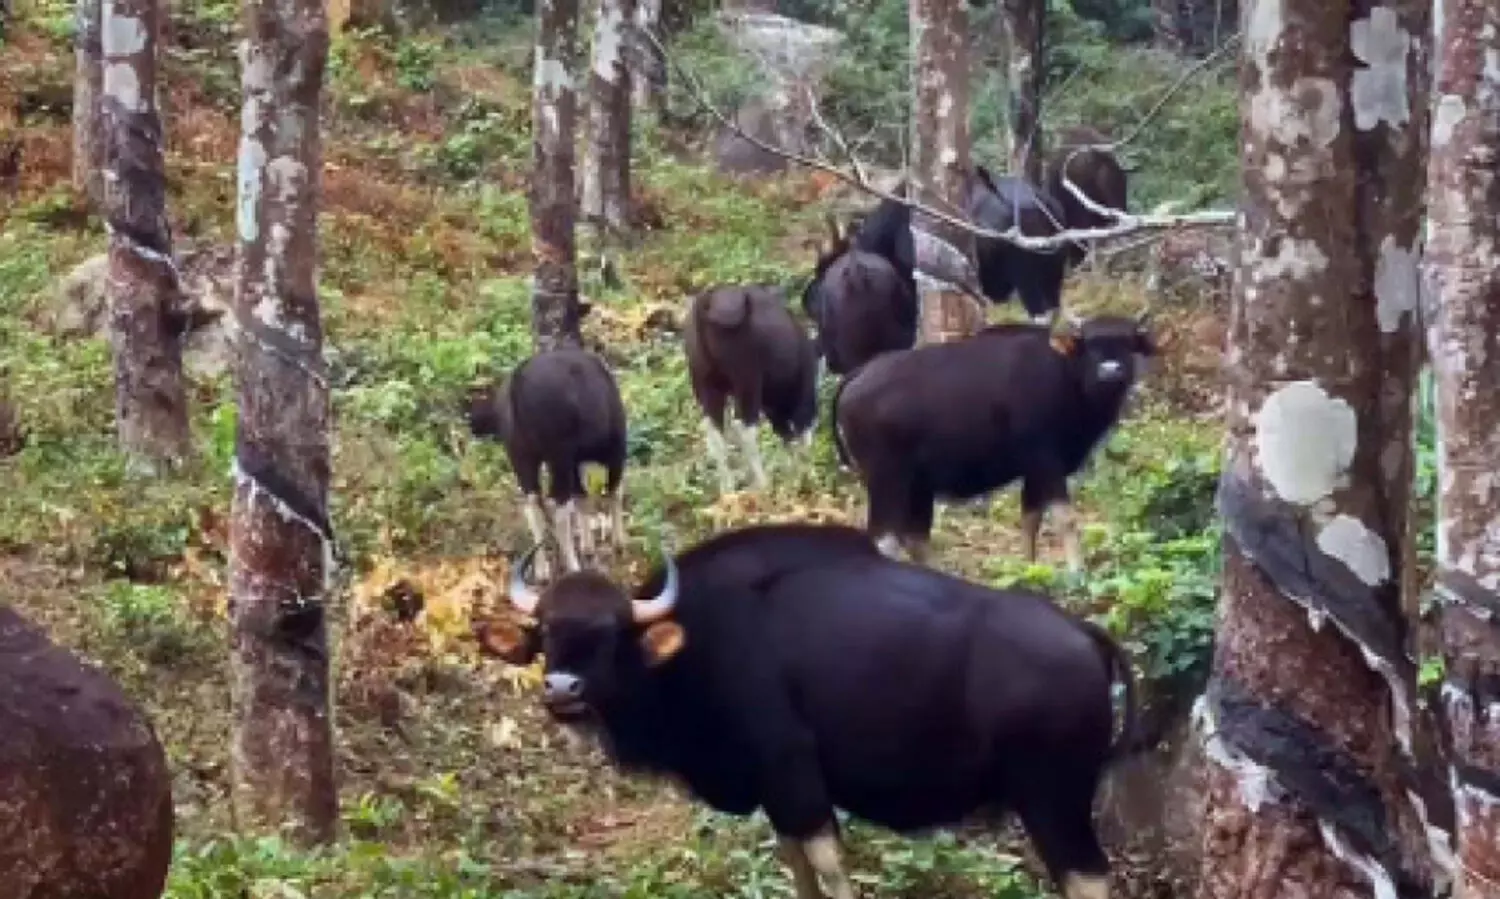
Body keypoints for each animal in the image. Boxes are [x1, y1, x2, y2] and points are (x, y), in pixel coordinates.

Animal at [467, 346, 627, 579]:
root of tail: (518, 382)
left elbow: (582, 497)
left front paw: (588, 547)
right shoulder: (615, 449)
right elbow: (614, 491)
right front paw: (619, 543)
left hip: (521, 456)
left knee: (533, 503)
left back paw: (542, 570)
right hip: (559, 455)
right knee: (558, 506)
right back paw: (573, 568)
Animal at [485, 522, 1137, 899]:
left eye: (610, 634)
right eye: (546, 632)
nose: (562, 688)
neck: (694, 645)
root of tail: (1085, 635)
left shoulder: (795, 774)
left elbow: (827, 864)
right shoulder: (774, 794)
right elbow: (796, 864)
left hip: (1054, 801)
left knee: (1088, 878)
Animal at [684, 284, 819, 493]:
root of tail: (707, 301)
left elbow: (785, 435)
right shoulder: (800, 396)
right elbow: (798, 431)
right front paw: (805, 470)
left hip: (704, 384)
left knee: (715, 432)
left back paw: (728, 490)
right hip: (747, 380)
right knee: (744, 427)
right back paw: (763, 484)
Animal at [832, 313, 1156, 568]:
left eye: (1128, 343)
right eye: (1090, 345)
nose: (1110, 372)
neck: (1066, 375)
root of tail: (859, 374)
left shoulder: (1034, 471)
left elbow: (1030, 520)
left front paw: (1029, 569)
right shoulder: (1046, 461)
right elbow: (1065, 518)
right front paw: (1077, 572)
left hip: (917, 486)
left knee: (915, 538)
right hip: (888, 480)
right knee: (885, 539)